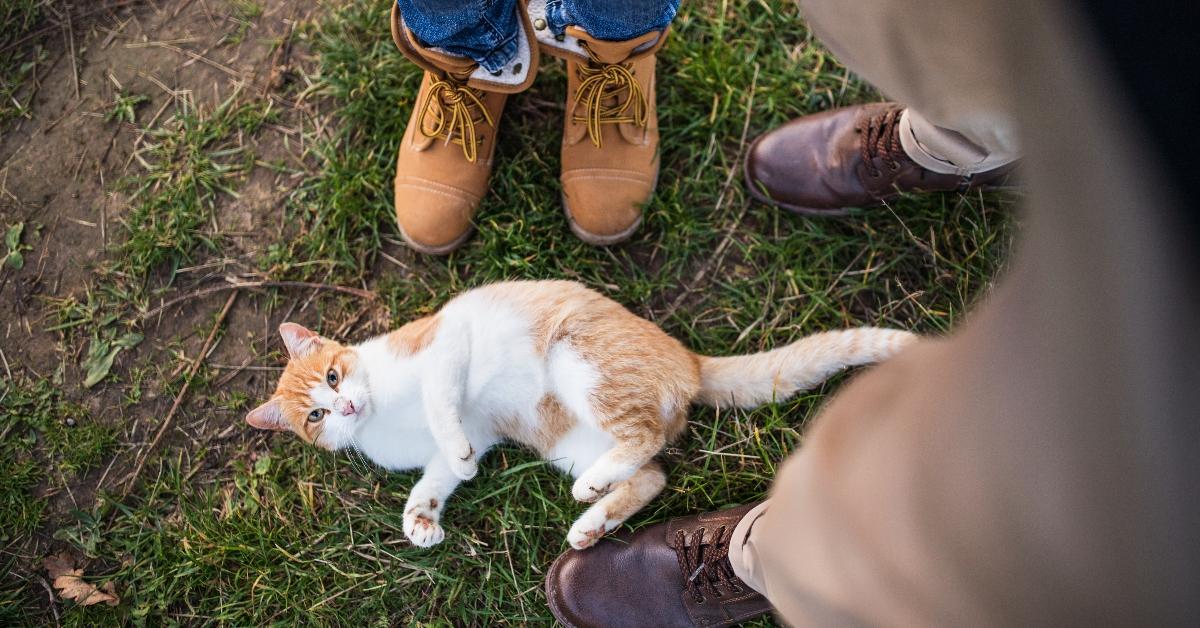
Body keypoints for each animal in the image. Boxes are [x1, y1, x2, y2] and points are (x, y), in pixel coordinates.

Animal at [246, 279, 916, 549]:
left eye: (334, 377)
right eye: (314, 418)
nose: (344, 404)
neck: (384, 413)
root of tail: (691, 358)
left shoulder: (445, 345)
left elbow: (442, 407)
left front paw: (455, 462)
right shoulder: (475, 433)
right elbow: (434, 476)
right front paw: (422, 519)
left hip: (577, 359)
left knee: (645, 436)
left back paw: (593, 491)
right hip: (564, 438)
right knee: (653, 475)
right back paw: (593, 520)